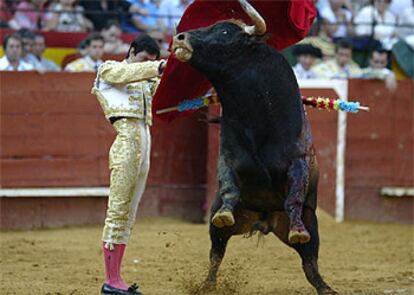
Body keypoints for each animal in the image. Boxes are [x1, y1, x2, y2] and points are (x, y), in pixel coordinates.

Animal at [171, 1, 336, 294]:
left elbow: (294, 194)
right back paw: (207, 285)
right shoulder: (227, 156)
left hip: (312, 225)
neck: (256, 115)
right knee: (216, 254)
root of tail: (264, 221)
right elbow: (229, 186)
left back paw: (324, 286)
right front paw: (225, 213)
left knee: (310, 263)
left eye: (225, 32)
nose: (180, 37)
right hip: (221, 232)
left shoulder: (299, 160)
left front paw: (297, 229)